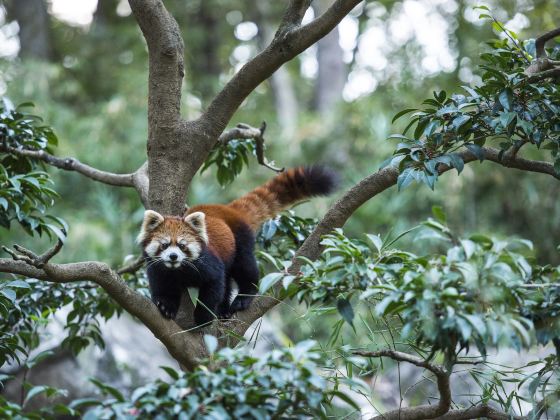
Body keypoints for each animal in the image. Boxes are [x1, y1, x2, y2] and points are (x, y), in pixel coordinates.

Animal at [137, 166, 336, 326]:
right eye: (164, 245)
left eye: (182, 245)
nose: (173, 256)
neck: (178, 269)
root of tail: (229, 209)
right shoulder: (158, 268)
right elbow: (161, 285)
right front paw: (166, 305)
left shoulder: (208, 263)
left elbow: (214, 286)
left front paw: (203, 317)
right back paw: (225, 310)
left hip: (240, 240)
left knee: (245, 269)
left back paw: (242, 299)